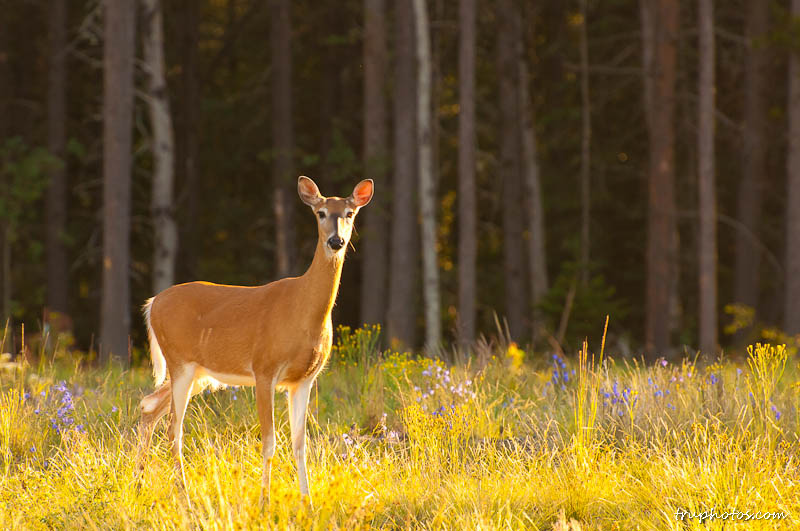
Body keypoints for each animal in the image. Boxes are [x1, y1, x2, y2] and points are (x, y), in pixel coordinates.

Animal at [138, 176, 376, 508]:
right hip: (179, 362)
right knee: (174, 428)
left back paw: (139, 482)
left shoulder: (304, 379)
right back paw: (183, 494)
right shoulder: (264, 368)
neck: (304, 311)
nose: (336, 241)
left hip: (198, 373)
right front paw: (265, 500)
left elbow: (300, 443)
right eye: (321, 213)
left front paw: (307, 502)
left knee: (149, 408)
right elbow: (269, 441)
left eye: (350, 213)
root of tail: (153, 303)